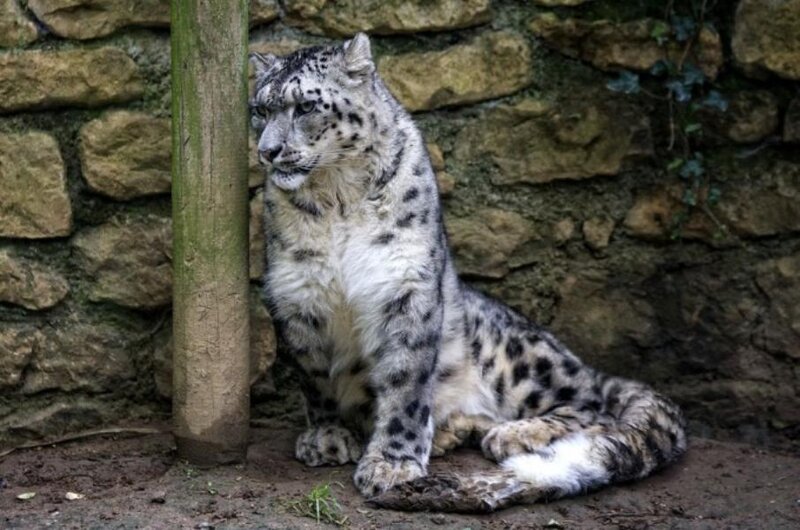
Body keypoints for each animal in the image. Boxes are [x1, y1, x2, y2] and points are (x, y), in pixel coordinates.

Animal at [250, 33, 687, 512]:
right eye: (260, 110)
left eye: (306, 106)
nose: (268, 151)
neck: (336, 199)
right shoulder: (298, 294)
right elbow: (315, 378)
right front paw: (327, 438)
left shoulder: (407, 288)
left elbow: (405, 383)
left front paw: (391, 464)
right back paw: (450, 430)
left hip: (519, 360)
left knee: (592, 403)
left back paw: (514, 434)